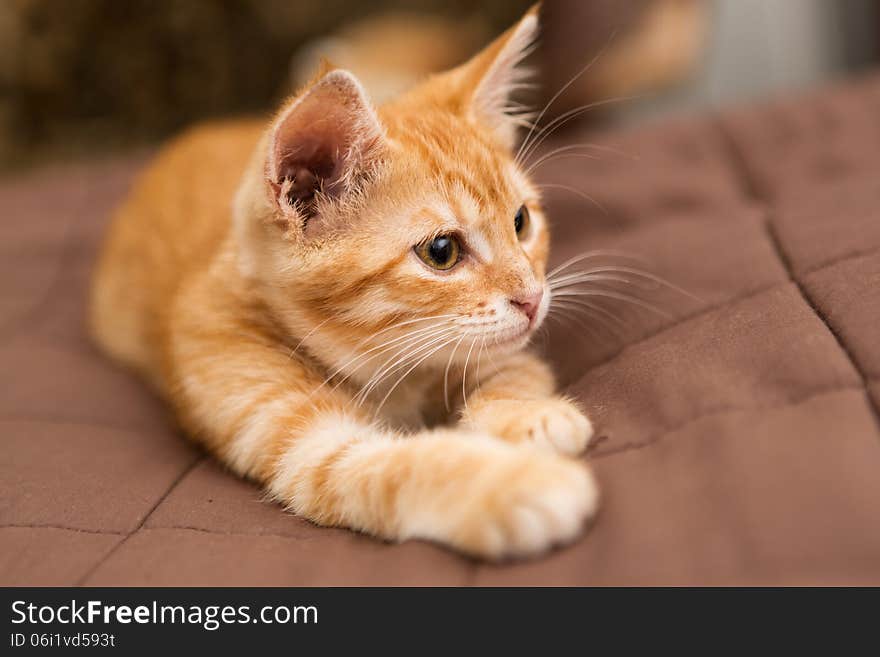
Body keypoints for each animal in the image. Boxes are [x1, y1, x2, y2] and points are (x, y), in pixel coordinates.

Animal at [89, 6, 600, 560]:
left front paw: (530, 417)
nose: (532, 299)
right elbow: (390, 467)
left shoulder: (499, 352)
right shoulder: (292, 430)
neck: (390, 372)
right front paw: (520, 484)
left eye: (521, 222)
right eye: (441, 251)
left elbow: (513, 372)